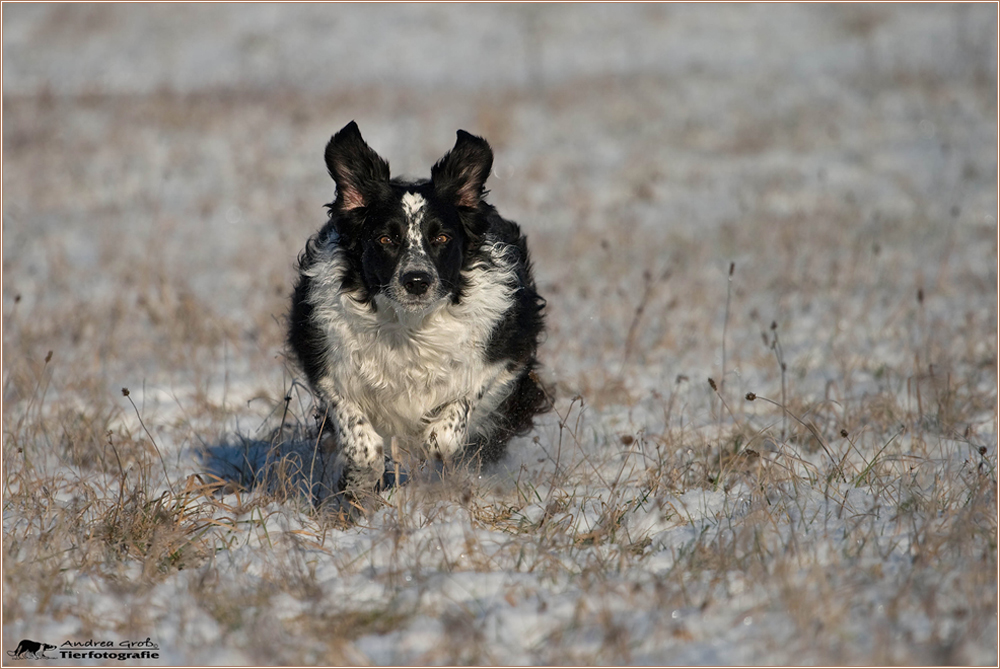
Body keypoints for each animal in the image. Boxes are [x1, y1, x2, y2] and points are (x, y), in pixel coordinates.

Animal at [286, 121, 548, 506]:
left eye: (441, 238)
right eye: (385, 239)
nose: (416, 281)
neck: (410, 326)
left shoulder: (506, 353)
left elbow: (451, 424)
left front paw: (431, 449)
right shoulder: (326, 360)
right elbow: (359, 436)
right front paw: (359, 483)